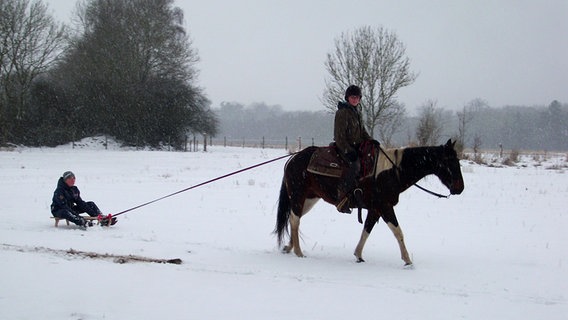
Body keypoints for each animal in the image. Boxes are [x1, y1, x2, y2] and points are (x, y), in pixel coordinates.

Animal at [276, 139, 466, 266]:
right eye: (450, 161)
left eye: (458, 161)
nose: (460, 188)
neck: (392, 172)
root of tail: (293, 159)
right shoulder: (385, 207)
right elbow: (398, 232)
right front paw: (407, 260)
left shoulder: (375, 210)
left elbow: (366, 231)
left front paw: (358, 255)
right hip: (298, 196)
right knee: (294, 220)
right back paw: (299, 252)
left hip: (309, 199)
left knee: (294, 219)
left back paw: (289, 247)